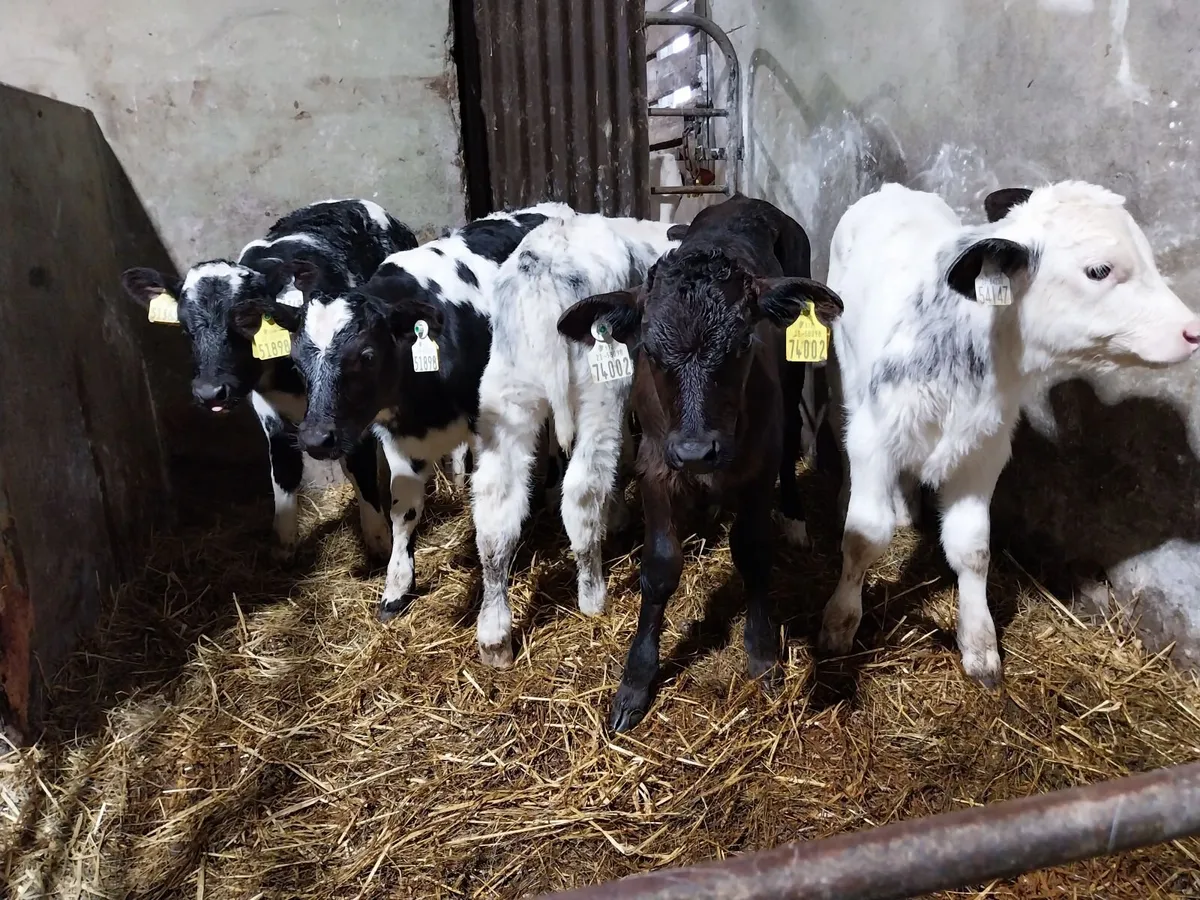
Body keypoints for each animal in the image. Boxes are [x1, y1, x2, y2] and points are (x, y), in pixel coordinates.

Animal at [120, 199, 417, 558]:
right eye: (185, 327)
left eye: (247, 322)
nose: (210, 393)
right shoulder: (269, 412)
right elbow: (285, 470)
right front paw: (283, 545)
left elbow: (360, 467)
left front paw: (378, 540)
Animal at [277, 202, 575, 620]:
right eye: (295, 360)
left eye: (366, 355)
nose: (315, 438)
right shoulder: (400, 441)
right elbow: (403, 510)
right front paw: (396, 586)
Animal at [470, 212, 679, 667]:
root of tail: (543, 271)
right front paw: (618, 516)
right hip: (599, 389)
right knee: (583, 491)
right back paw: (593, 596)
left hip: (507, 395)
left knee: (496, 510)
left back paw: (494, 637)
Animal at [558, 194, 844, 731]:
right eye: (648, 348)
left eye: (743, 342)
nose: (696, 451)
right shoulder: (655, 462)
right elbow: (660, 565)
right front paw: (636, 679)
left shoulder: (757, 465)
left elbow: (753, 551)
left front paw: (762, 654)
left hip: (792, 383)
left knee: (792, 438)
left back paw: (794, 518)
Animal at [819, 181, 1200, 687]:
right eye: (1098, 270)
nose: (1193, 331)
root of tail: (892, 189)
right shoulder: (874, 437)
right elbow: (864, 538)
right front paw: (839, 624)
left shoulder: (984, 451)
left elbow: (973, 547)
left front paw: (980, 645)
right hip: (842, 369)